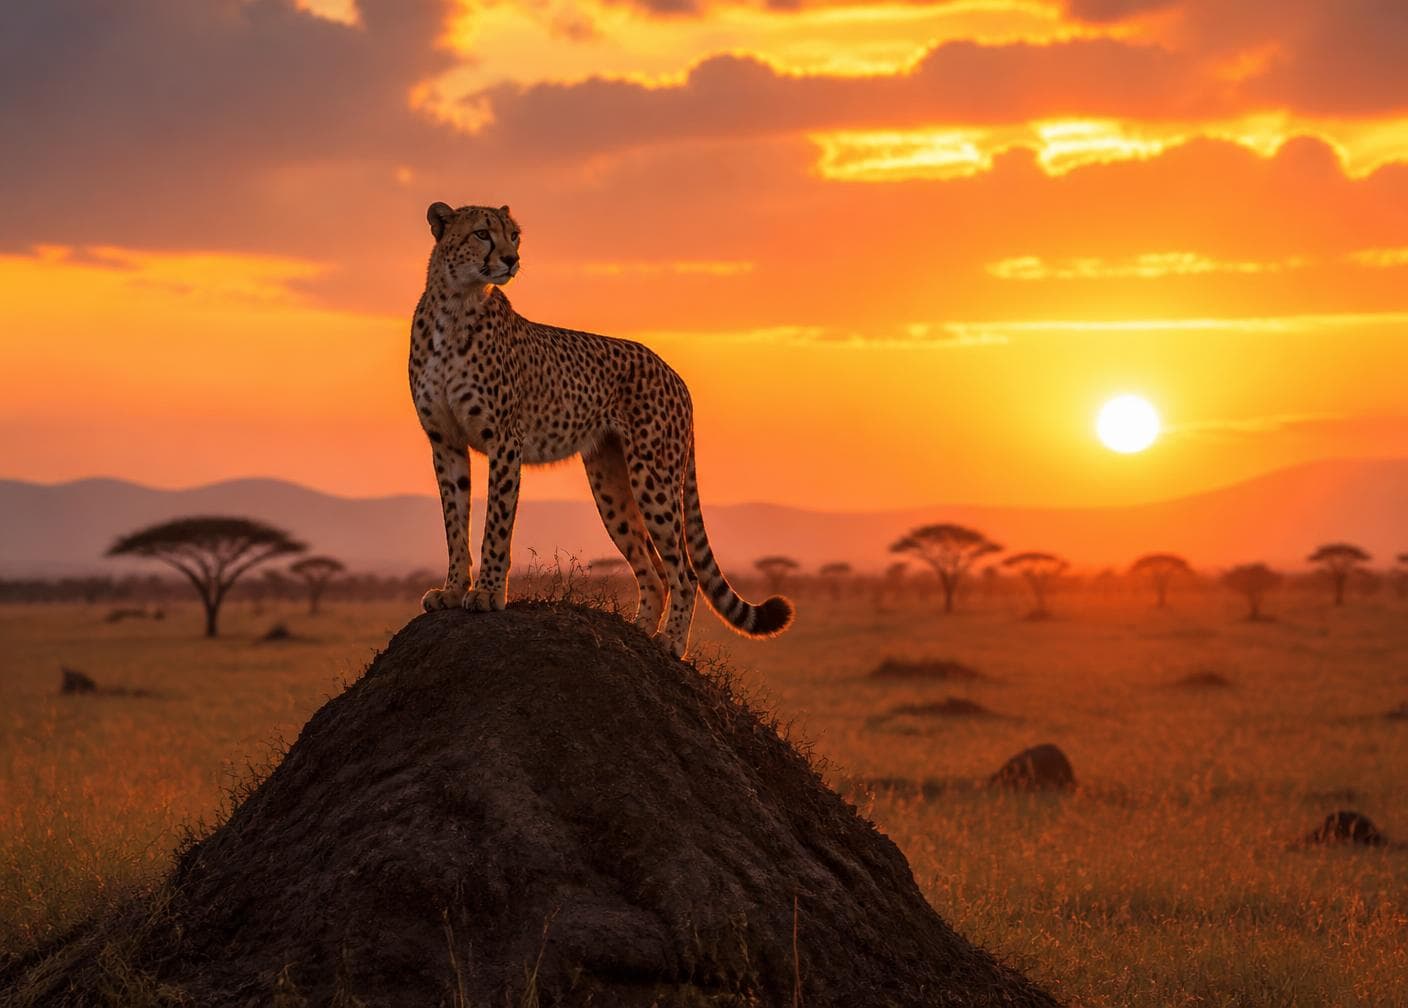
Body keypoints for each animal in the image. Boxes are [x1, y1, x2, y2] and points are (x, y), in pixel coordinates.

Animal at [409, 201, 794, 657]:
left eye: (514, 235)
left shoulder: (505, 440)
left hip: (653, 476)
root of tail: (674, 374)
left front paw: (486, 593)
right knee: (654, 568)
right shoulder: (445, 442)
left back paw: (669, 643)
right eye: (483, 233)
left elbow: (496, 524)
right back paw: (639, 632)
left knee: (684, 572)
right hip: (609, 482)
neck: (454, 305)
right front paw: (452, 590)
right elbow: (454, 521)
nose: (511, 259)